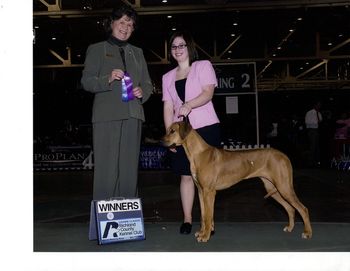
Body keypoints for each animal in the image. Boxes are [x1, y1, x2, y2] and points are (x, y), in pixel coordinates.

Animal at [163, 121, 314, 242]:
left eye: (172, 131)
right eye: (168, 129)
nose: (161, 141)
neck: (198, 153)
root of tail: (284, 155)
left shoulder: (209, 192)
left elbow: (208, 215)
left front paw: (205, 236)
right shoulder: (201, 191)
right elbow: (203, 215)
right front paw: (202, 232)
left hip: (284, 187)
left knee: (303, 209)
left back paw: (307, 233)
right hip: (273, 188)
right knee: (290, 208)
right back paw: (290, 228)